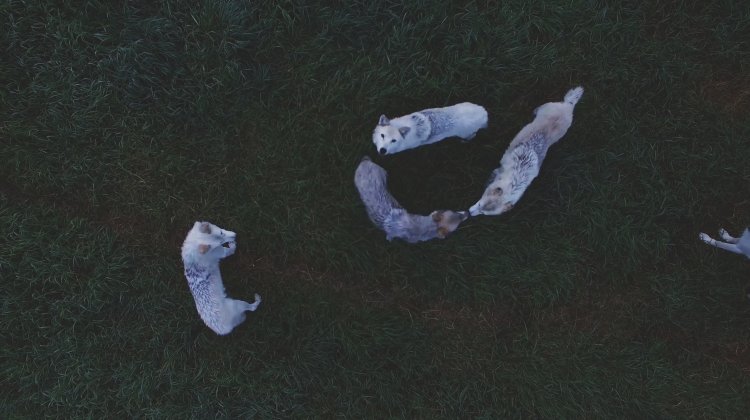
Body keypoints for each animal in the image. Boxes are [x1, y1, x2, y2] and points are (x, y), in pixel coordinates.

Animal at [469, 86, 583, 216]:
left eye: (483, 213)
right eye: (479, 204)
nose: (469, 213)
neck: (516, 180)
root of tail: (569, 105)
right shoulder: (499, 169)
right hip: (546, 106)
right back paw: (534, 111)